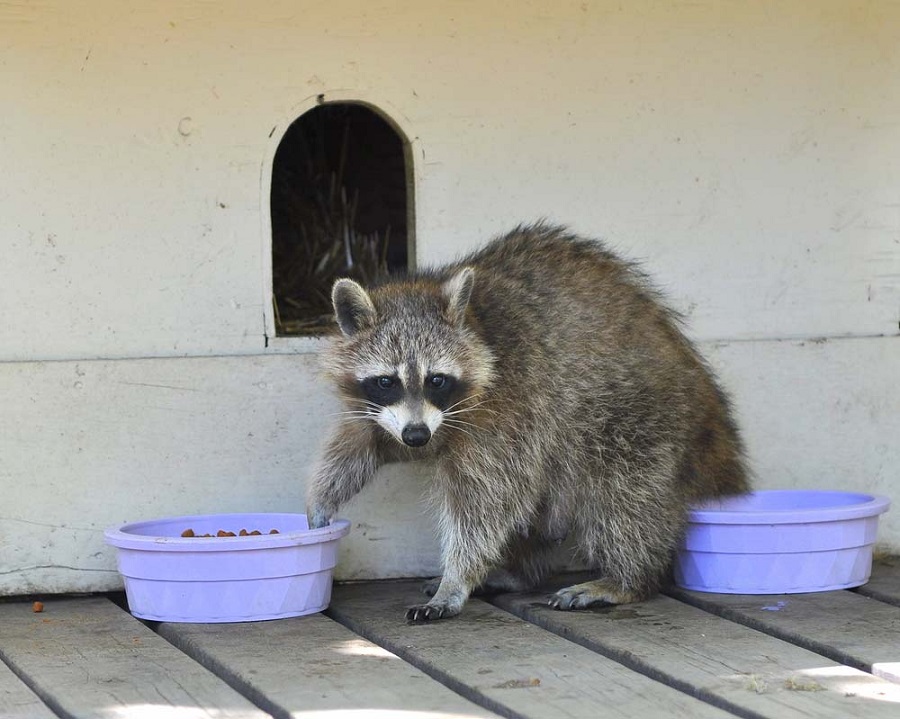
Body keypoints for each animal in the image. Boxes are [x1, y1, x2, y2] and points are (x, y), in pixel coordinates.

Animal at [307, 223, 748, 622]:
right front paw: (321, 499)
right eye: (387, 381)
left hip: (641, 417)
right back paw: (522, 571)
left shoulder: (511, 404)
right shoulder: (386, 411)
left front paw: (457, 578)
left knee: (625, 496)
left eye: (436, 380)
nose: (417, 436)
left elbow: (485, 503)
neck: (478, 323)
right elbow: (364, 443)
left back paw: (626, 578)